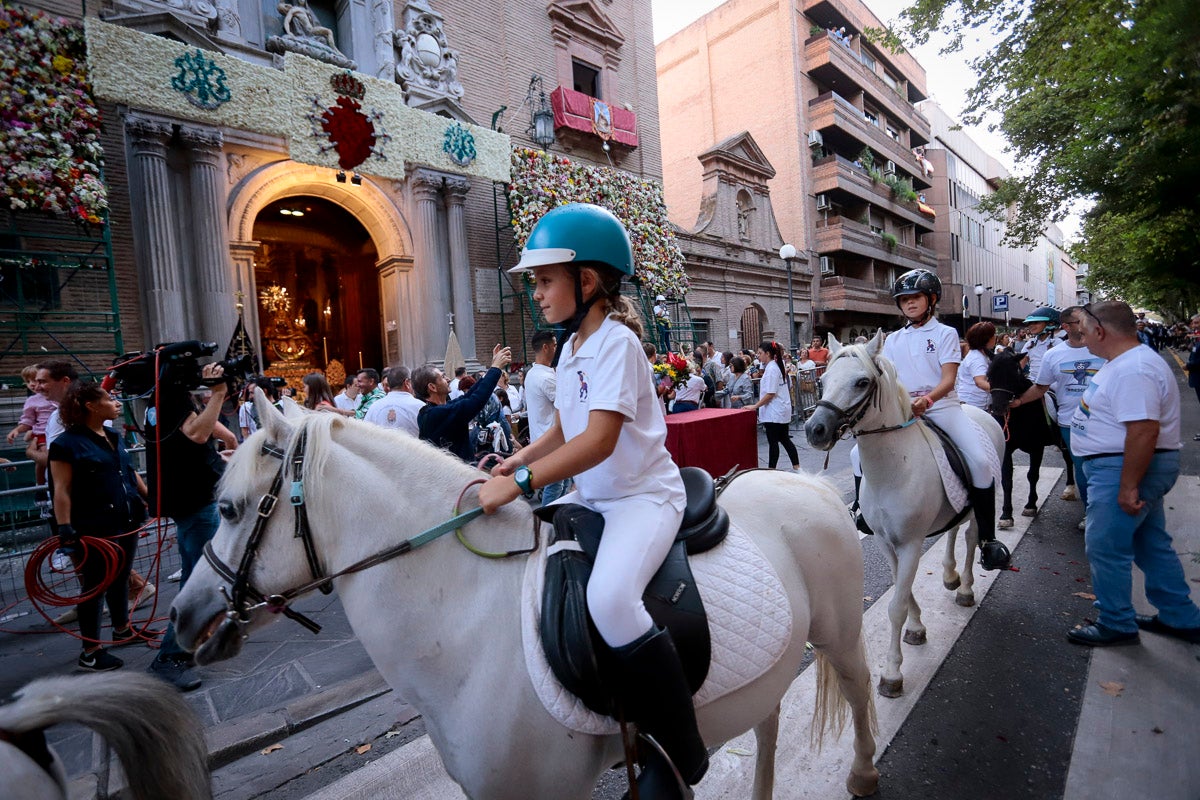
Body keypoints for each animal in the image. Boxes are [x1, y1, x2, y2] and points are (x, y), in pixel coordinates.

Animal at [171, 395, 883, 800]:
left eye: (228, 508)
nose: (182, 618)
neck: (466, 619)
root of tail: (806, 484)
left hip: (842, 636)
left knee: (859, 693)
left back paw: (863, 774)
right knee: (768, 723)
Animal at [806, 335, 1003, 695]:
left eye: (862, 382)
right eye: (823, 381)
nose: (815, 430)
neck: (893, 467)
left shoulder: (911, 543)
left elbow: (895, 606)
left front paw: (892, 672)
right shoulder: (886, 542)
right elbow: (901, 586)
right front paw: (917, 627)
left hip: (981, 496)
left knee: (971, 539)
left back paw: (966, 589)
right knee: (953, 531)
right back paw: (950, 575)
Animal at [979, 352, 1075, 527]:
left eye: (1013, 375)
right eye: (989, 376)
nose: (998, 408)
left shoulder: (1037, 448)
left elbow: (1033, 475)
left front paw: (1031, 505)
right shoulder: (1007, 449)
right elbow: (1007, 480)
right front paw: (1006, 515)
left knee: (1068, 459)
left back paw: (1069, 488)